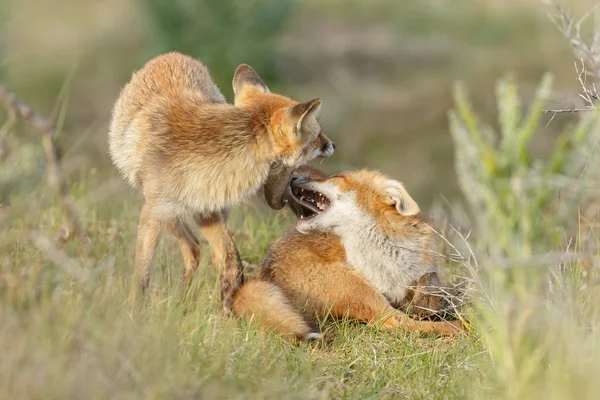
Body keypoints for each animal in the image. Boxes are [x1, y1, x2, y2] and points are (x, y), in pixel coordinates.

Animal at [109, 53, 336, 310]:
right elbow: (142, 274)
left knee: (199, 250)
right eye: (317, 134)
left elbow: (231, 260)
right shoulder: (154, 211)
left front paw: (227, 304)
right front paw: (134, 312)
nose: (332, 144)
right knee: (192, 247)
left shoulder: (208, 209)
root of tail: (172, 55)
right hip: (163, 209)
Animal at [232, 167, 462, 340]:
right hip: (359, 290)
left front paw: (428, 303)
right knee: (398, 323)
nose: (293, 177)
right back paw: (460, 326)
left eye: (336, 177)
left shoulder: (418, 272)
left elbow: (430, 278)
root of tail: (262, 278)